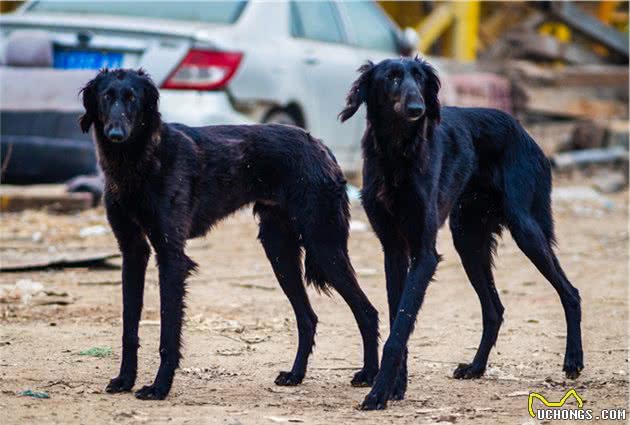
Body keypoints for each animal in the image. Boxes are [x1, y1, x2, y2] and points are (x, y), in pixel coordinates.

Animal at [80, 68, 380, 398]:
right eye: (106, 97)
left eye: (133, 98)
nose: (116, 134)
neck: (136, 161)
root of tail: (321, 145)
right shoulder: (133, 251)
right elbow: (129, 327)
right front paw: (125, 379)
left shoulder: (171, 255)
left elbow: (168, 332)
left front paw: (159, 387)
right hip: (280, 251)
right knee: (308, 318)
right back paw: (295, 375)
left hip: (323, 245)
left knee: (367, 311)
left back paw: (369, 375)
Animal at [344, 58, 584, 410]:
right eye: (392, 78)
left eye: (420, 78)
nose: (417, 109)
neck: (397, 152)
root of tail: (522, 129)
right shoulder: (394, 249)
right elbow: (398, 320)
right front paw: (395, 387)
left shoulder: (425, 253)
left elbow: (400, 328)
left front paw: (379, 393)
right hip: (468, 240)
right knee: (494, 310)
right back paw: (476, 367)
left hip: (525, 229)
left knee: (570, 292)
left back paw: (573, 360)